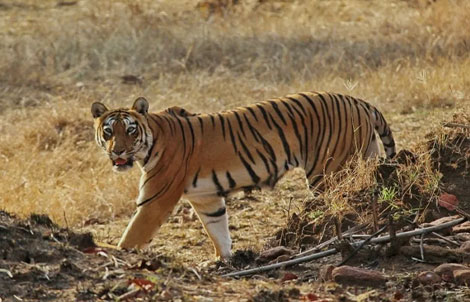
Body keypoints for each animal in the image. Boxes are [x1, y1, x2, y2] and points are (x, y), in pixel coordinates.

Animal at [90, 91, 394, 258]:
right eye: (109, 131)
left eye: (130, 131)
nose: (117, 152)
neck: (153, 136)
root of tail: (359, 101)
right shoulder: (207, 198)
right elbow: (218, 230)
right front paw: (221, 260)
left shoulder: (155, 200)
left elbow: (133, 234)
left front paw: (116, 252)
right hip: (364, 157)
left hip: (330, 171)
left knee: (343, 201)